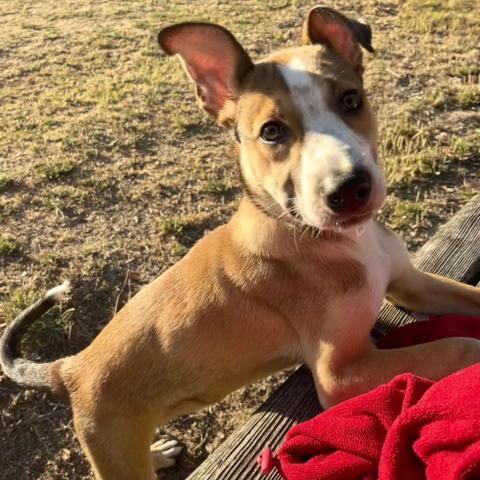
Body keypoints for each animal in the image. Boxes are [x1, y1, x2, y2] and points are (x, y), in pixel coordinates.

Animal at [0, 5, 480, 478]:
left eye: (351, 100)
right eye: (271, 131)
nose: (348, 190)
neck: (329, 237)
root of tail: (72, 367)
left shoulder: (412, 284)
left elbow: (466, 300)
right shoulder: (339, 375)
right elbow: (455, 345)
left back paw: (158, 452)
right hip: (112, 443)